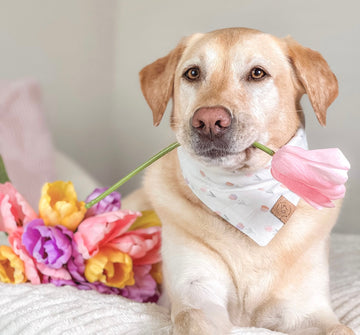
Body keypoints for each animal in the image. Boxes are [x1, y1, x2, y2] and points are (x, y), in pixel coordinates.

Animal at [126, 27, 354, 334]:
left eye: (257, 73)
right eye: (192, 73)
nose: (209, 121)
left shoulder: (306, 309)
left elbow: (340, 328)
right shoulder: (196, 294)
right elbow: (197, 320)